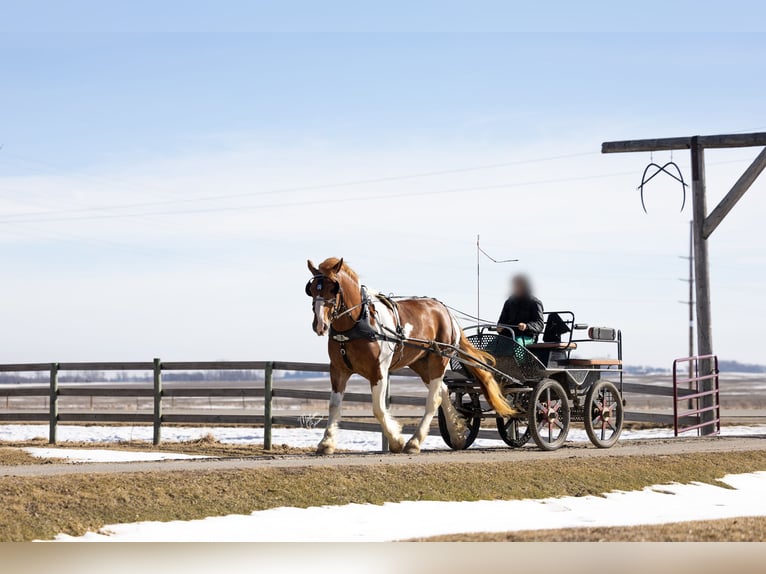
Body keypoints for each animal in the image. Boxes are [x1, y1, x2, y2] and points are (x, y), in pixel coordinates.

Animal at [305, 257, 516, 454]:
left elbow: (378, 408)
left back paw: (414, 442)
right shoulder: (338, 369)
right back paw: (456, 435)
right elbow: (334, 405)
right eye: (313, 289)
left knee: (433, 400)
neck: (359, 321)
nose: (319, 325)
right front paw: (326, 443)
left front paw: (396, 441)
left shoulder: (379, 371)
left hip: (439, 359)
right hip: (422, 363)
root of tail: (446, 312)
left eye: (333, 289)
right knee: (442, 391)